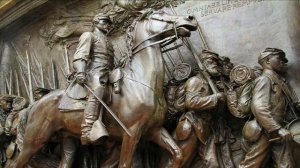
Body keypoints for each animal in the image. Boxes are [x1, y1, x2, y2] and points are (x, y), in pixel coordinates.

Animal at [12, 9, 198, 167]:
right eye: (160, 15)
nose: (190, 18)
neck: (140, 81)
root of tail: (34, 105)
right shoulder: (131, 134)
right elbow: (125, 164)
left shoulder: (155, 130)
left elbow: (177, 153)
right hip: (34, 141)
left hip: (67, 139)